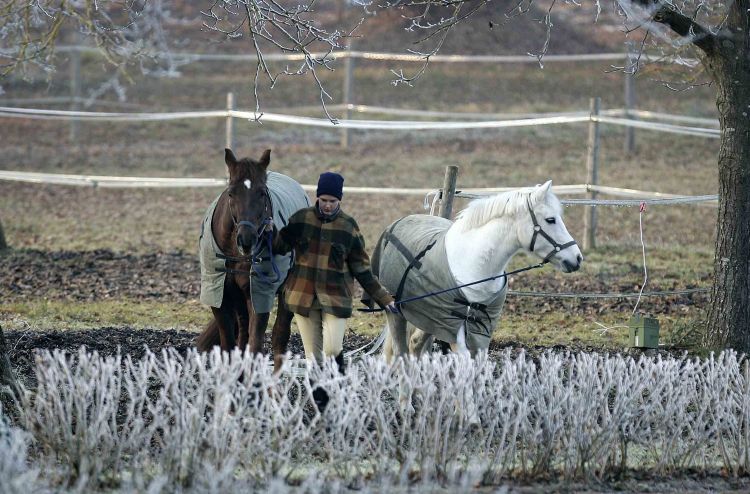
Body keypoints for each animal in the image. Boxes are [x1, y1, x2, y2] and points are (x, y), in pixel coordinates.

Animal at [197, 148, 312, 370]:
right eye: (231, 193)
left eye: (261, 193)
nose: (246, 240)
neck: (234, 254)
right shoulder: (219, 296)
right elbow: (229, 347)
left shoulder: (258, 295)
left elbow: (256, 346)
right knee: (243, 335)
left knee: (279, 337)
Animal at [370, 179, 580, 360]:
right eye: (551, 219)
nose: (577, 258)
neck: (474, 264)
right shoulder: (454, 330)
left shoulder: (479, 332)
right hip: (397, 314)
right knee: (401, 352)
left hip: (428, 319)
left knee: (415, 344)